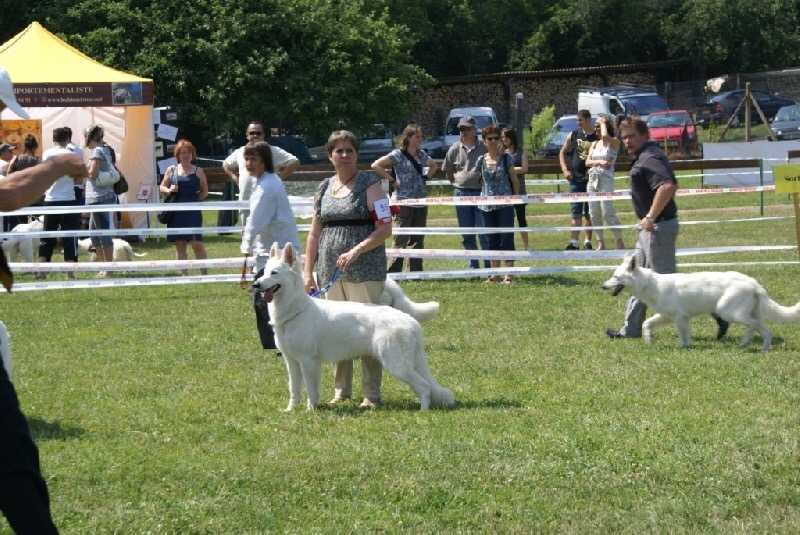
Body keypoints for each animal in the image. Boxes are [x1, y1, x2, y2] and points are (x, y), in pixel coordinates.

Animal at [253, 241, 454, 412]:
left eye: (274, 273)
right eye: (263, 273)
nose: (255, 284)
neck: (295, 310)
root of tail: (411, 321)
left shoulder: (309, 362)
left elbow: (311, 390)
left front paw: (310, 411)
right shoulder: (292, 361)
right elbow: (294, 389)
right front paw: (291, 410)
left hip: (397, 365)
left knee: (424, 386)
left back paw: (423, 411)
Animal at [604, 255, 800, 352]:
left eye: (616, 277)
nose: (602, 286)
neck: (649, 284)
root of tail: (754, 284)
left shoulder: (679, 318)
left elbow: (683, 334)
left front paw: (684, 347)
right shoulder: (666, 316)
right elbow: (646, 323)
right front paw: (648, 340)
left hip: (728, 311)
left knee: (761, 327)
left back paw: (763, 347)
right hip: (740, 312)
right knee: (755, 327)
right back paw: (745, 344)